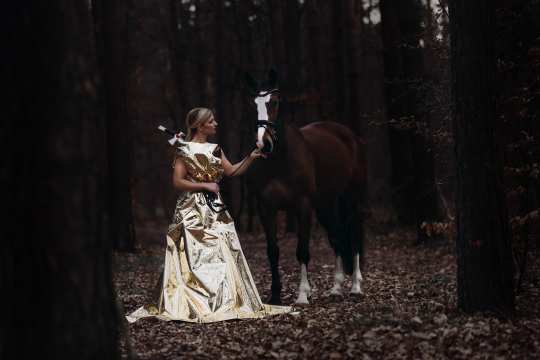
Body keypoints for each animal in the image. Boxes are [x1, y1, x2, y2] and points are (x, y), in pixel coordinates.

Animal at [245, 69, 368, 304]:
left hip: (351, 197)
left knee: (354, 235)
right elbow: (272, 250)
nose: (263, 144)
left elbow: (302, 250)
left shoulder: (303, 206)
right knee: (337, 236)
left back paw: (356, 286)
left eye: (274, 101)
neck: (280, 160)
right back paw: (336, 287)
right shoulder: (266, 207)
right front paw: (275, 295)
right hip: (325, 204)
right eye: (252, 103)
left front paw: (302, 294)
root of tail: (350, 135)